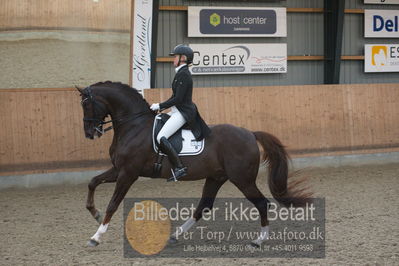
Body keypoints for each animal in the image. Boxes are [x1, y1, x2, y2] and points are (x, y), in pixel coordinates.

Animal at [76, 81, 312, 247]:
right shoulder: (118, 169)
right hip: (216, 177)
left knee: (262, 203)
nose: (89, 133)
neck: (134, 125)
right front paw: (94, 212)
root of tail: (250, 133)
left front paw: (96, 236)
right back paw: (174, 236)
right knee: (203, 206)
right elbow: (92, 182)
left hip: (242, 179)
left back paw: (258, 241)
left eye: (86, 104)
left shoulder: (128, 173)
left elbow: (113, 203)